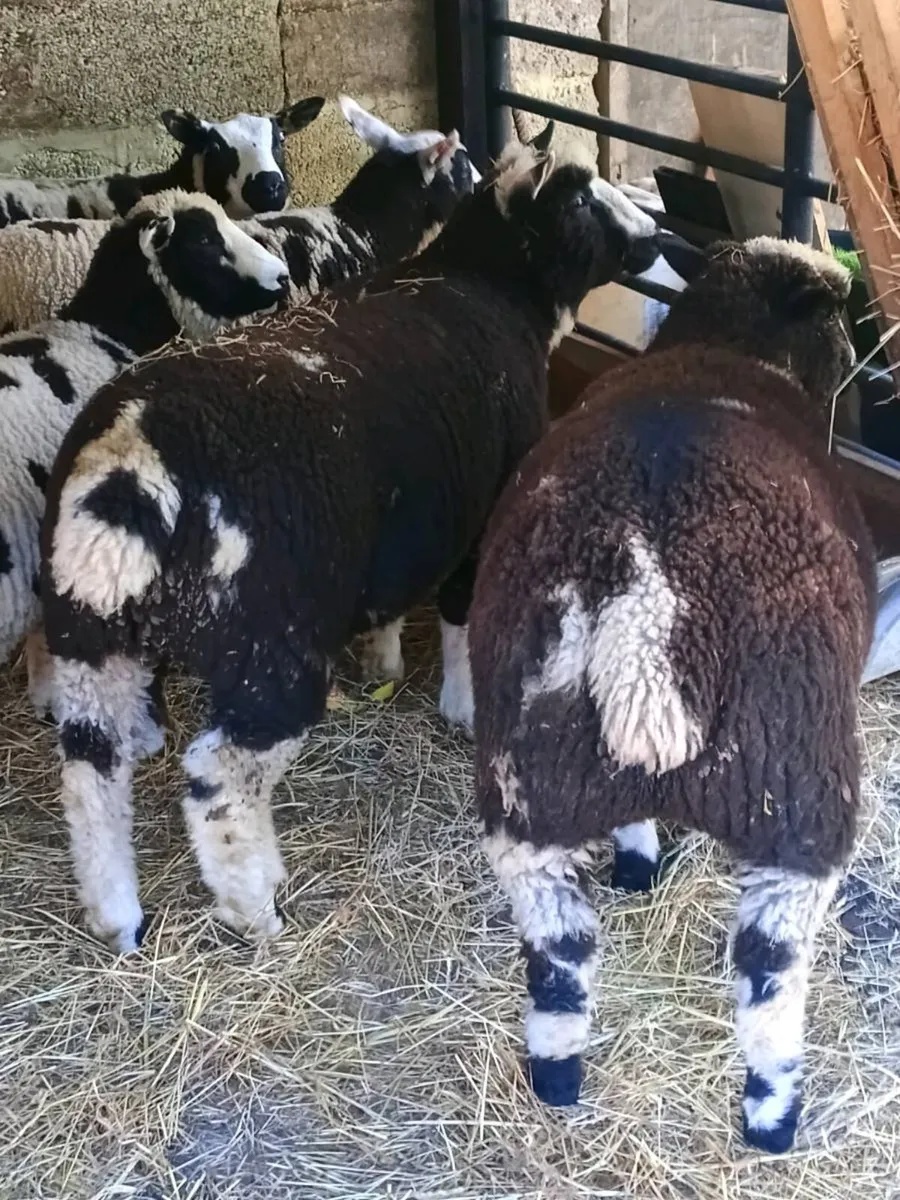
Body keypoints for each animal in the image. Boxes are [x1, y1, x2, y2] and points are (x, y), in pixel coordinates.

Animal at [37, 137, 661, 958]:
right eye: (583, 197)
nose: (656, 236)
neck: (494, 287)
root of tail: (129, 458)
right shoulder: (482, 503)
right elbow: (461, 609)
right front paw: (461, 707)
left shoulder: (407, 523)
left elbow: (395, 601)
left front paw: (385, 662)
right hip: (268, 638)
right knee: (220, 778)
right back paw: (254, 907)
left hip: (88, 630)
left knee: (91, 774)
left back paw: (116, 914)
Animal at [465, 236, 876, 1154]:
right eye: (838, 315)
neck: (728, 348)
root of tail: (646, 618)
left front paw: (639, 859)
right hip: (798, 798)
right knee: (769, 980)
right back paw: (772, 1118)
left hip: (531, 793)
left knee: (560, 961)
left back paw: (557, 1080)